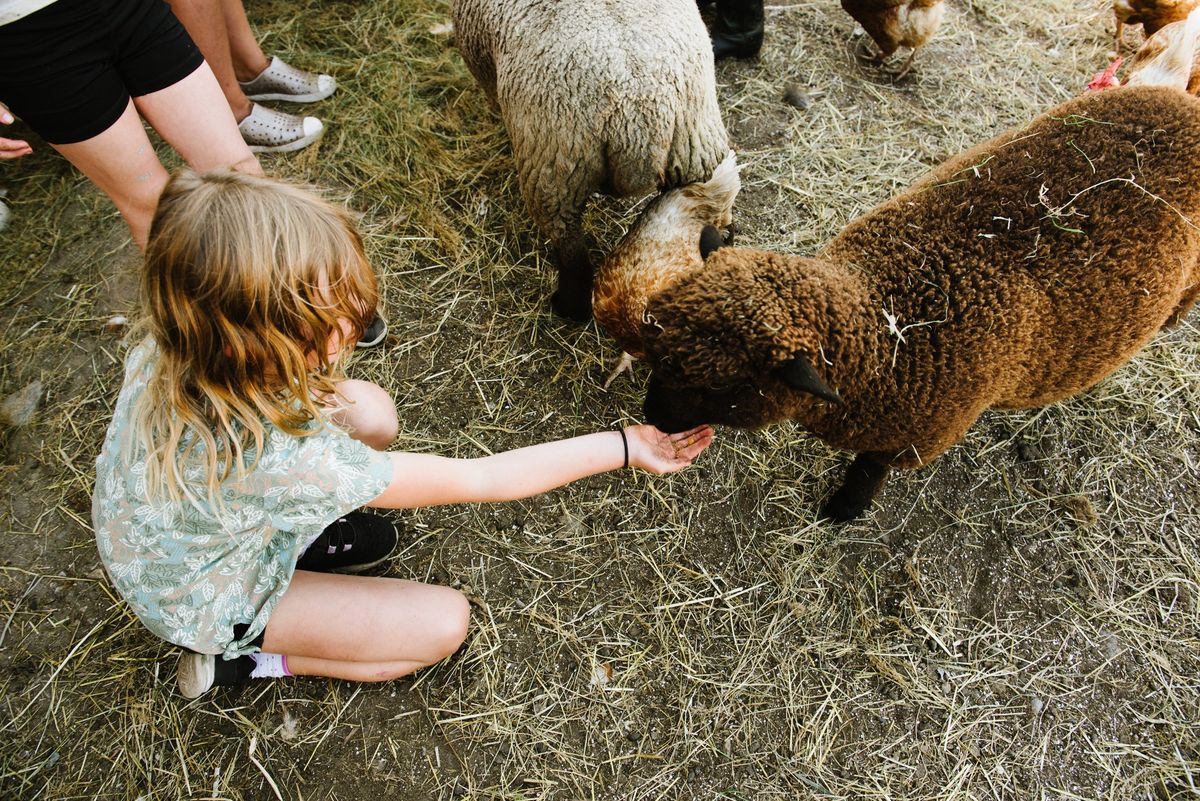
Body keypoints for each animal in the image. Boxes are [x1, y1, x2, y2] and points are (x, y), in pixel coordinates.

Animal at [638, 86, 1200, 520]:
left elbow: (868, 470)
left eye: (725, 385)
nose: (651, 417)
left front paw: (842, 511)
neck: (886, 327)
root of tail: (1182, 102)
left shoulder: (913, 437)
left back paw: (1170, 322)